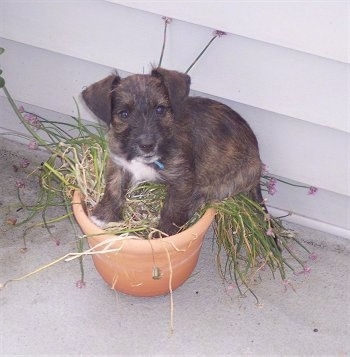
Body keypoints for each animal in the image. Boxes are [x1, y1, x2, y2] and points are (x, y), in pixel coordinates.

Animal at [82, 68, 266, 235]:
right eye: (124, 114)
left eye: (160, 109)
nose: (147, 145)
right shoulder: (119, 164)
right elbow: (113, 188)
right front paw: (104, 216)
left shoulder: (182, 180)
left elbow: (173, 209)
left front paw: (163, 235)